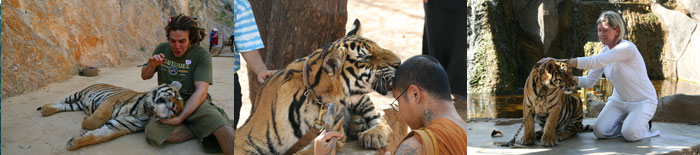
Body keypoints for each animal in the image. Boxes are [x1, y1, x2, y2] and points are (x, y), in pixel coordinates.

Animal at [37, 81, 185, 150]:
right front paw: (86, 121)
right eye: (176, 96)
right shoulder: (110, 102)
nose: (175, 108)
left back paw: (46, 110)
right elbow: (95, 121)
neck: (146, 110)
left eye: (179, 112)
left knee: (64, 106)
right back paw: (44, 108)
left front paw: (74, 142)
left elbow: (97, 136)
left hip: (77, 104)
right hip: (77, 94)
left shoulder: (118, 126)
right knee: (61, 101)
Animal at [235, 18, 400, 154]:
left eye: (378, 47)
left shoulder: (333, 137)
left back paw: (372, 134)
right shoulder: (243, 140)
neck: (320, 99)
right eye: (366, 57)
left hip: (361, 100)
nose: (399, 63)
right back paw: (356, 124)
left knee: (380, 119)